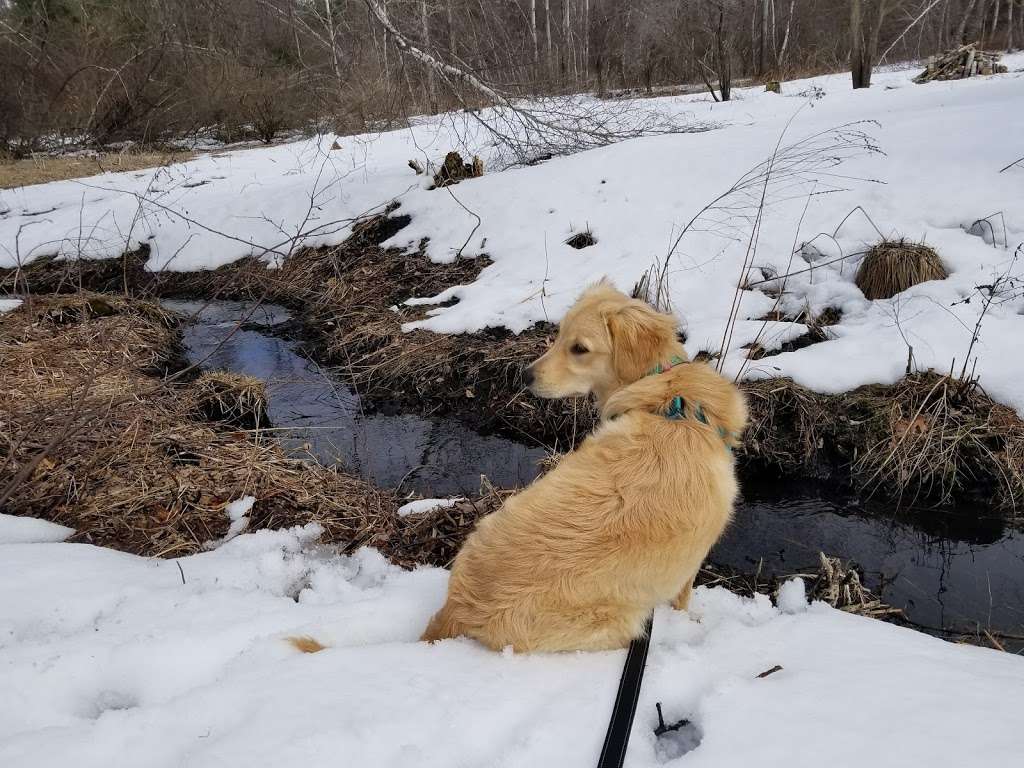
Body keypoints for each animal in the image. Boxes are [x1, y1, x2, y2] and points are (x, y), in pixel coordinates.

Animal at [419, 286, 749, 651]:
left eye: (579, 349)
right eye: (560, 335)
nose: (525, 376)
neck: (670, 401)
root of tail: (458, 607)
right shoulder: (692, 561)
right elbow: (683, 599)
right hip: (622, 622)